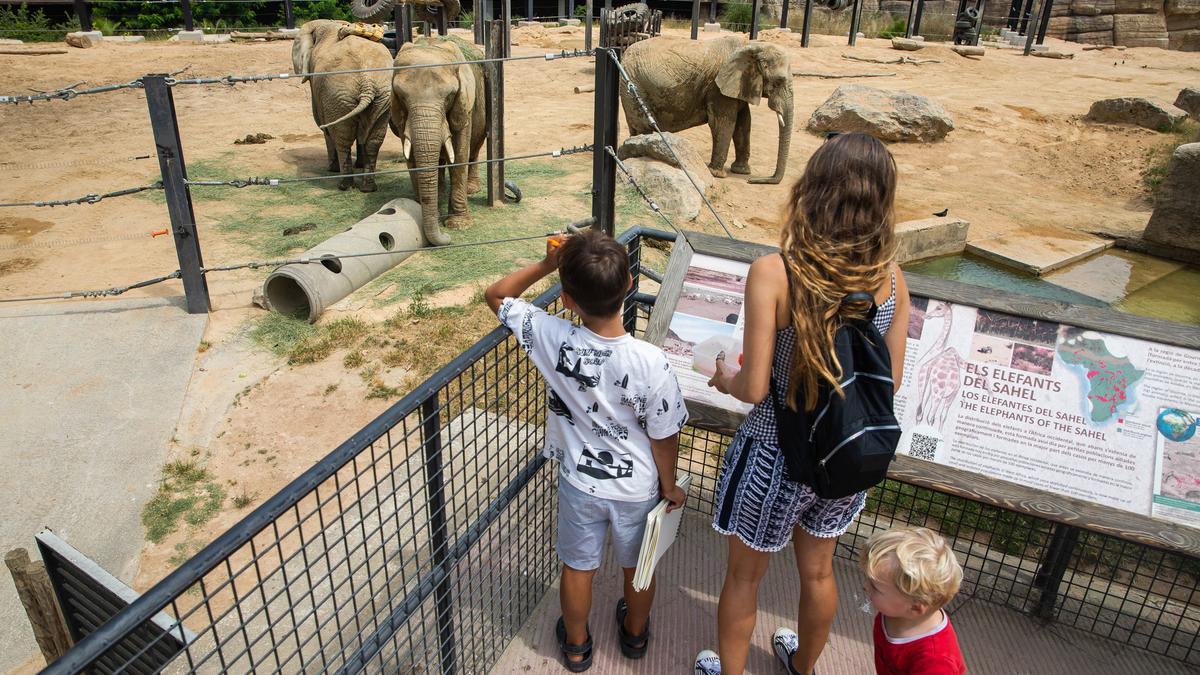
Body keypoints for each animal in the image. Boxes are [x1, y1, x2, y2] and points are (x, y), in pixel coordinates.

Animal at [291, 19, 393, 190]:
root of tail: (367, 82)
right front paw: (358, 165)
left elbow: (323, 124)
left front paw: (332, 169)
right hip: (382, 96)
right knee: (374, 140)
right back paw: (368, 188)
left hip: (336, 96)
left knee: (342, 137)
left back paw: (343, 185)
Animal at [391, 35, 489, 246]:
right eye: (401, 96)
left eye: (449, 96)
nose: (447, 238)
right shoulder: (401, 115)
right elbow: (411, 158)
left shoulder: (464, 104)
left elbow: (459, 154)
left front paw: (458, 225)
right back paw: (441, 192)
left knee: (475, 147)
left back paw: (471, 189)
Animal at [619, 35, 796, 183]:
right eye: (778, 82)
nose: (752, 181)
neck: (752, 45)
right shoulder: (717, 88)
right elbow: (723, 123)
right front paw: (716, 174)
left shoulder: (737, 86)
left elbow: (744, 123)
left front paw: (741, 171)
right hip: (633, 85)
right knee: (643, 127)